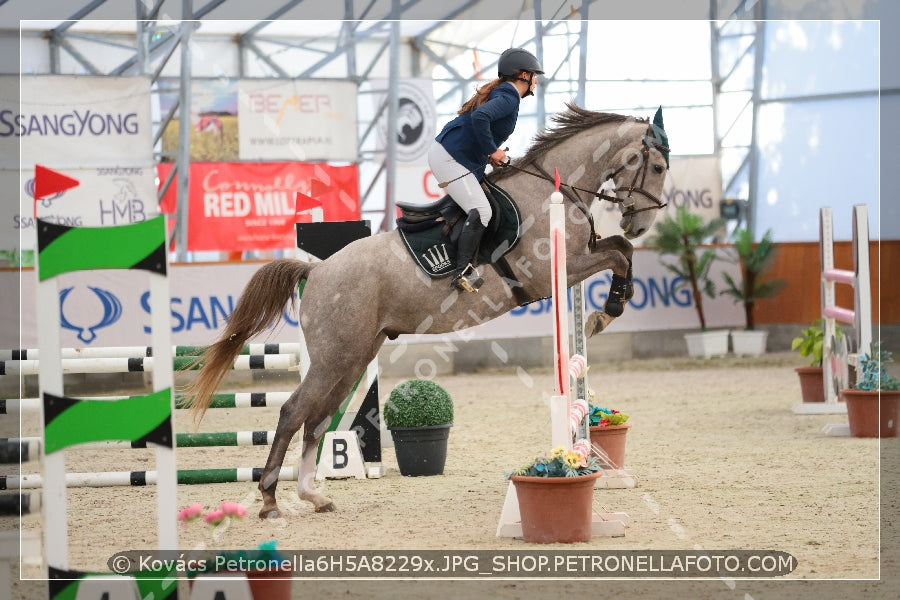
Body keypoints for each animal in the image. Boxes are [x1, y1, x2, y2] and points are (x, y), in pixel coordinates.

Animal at [183, 101, 672, 516]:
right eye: (659, 166)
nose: (643, 222)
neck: (553, 190)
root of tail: (315, 270)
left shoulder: (579, 257)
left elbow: (620, 248)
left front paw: (608, 306)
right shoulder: (553, 269)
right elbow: (620, 254)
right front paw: (607, 310)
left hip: (353, 357)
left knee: (317, 420)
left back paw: (313, 495)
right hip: (334, 358)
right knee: (292, 413)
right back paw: (269, 500)